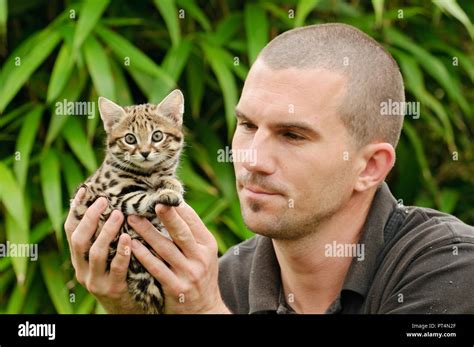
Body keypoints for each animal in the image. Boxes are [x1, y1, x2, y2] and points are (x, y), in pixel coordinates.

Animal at [72, 89, 185, 316]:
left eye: (157, 136)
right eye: (130, 138)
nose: (145, 152)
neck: (149, 173)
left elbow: (167, 179)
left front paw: (172, 184)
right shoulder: (115, 196)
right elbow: (140, 199)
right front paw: (165, 194)